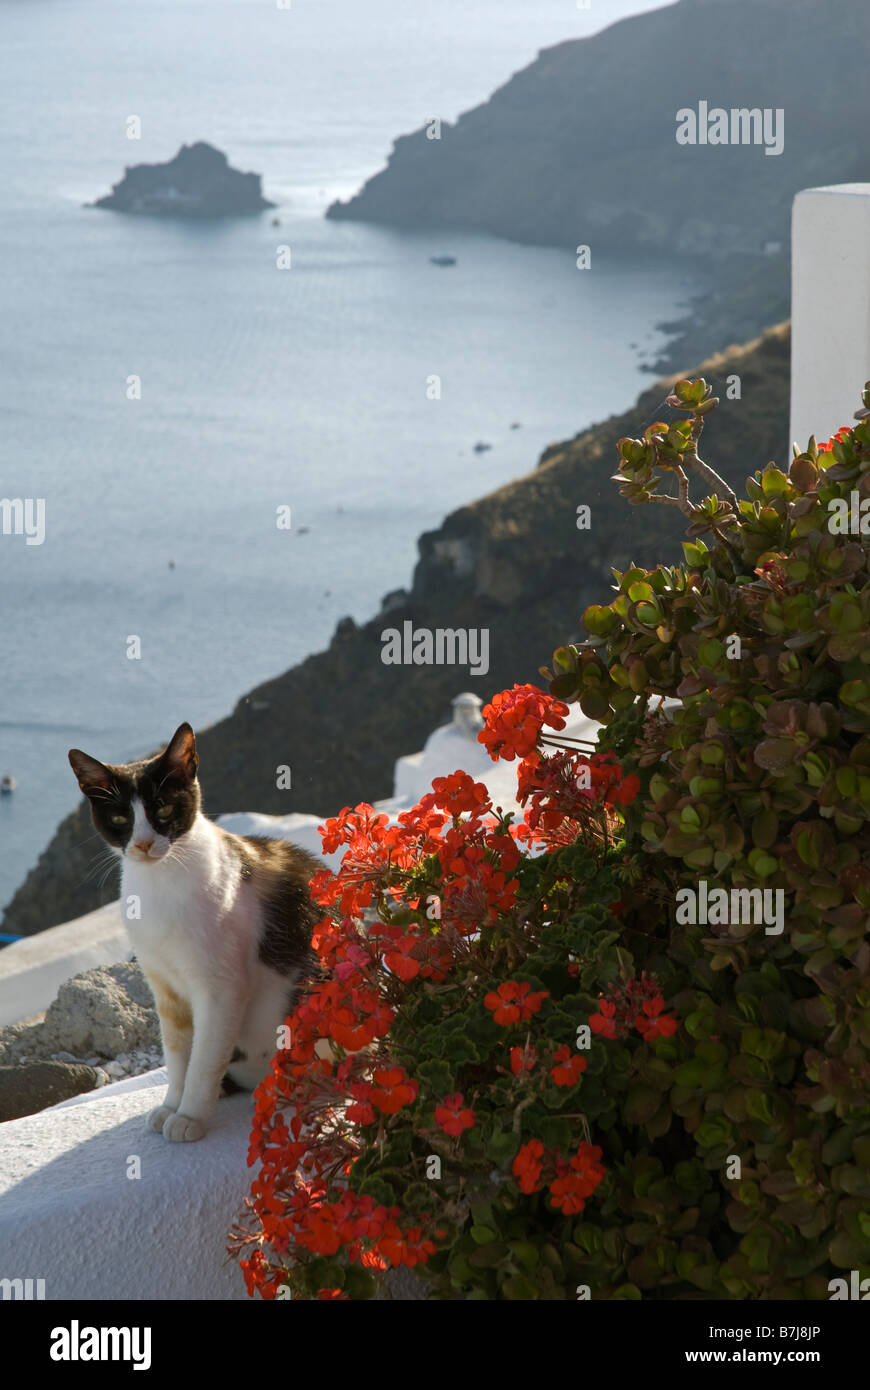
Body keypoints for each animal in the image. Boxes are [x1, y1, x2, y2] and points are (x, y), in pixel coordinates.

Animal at [66, 728, 319, 1139]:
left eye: (164, 809)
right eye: (120, 817)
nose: (143, 844)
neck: (161, 885)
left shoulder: (221, 988)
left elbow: (203, 1061)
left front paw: (189, 1118)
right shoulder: (165, 987)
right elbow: (178, 1057)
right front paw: (172, 1106)